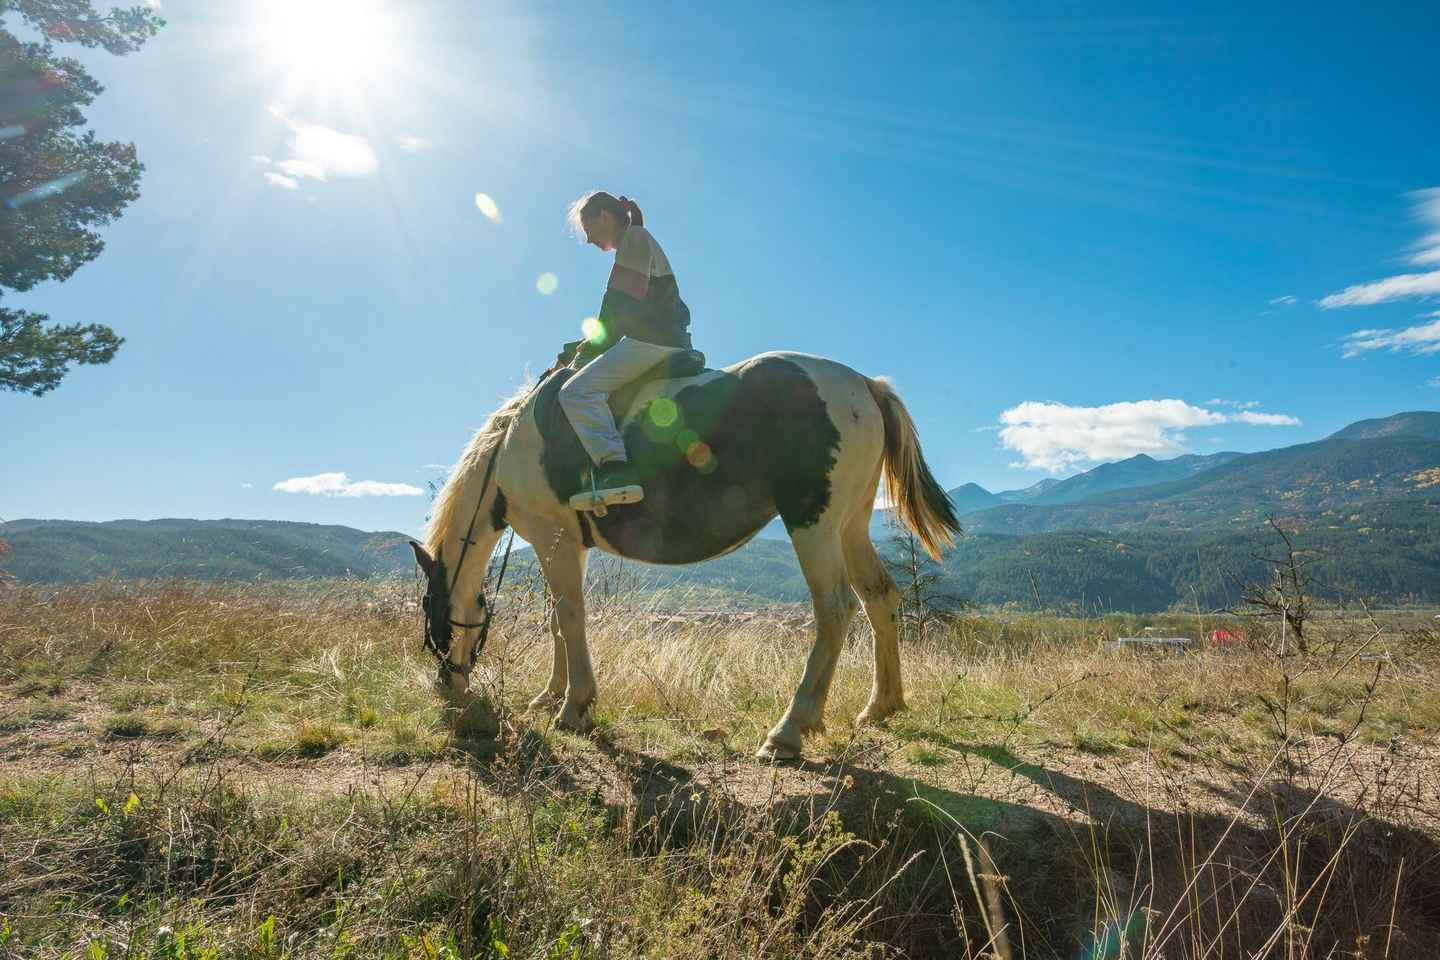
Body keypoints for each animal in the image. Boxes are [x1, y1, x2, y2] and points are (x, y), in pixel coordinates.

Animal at [409, 351, 960, 760]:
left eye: (436, 622)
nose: (447, 689)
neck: (510, 447)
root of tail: (864, 384)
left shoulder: (552, 534)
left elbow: (568, 615)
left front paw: (573, 706)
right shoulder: (567, 542)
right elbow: (556, 620)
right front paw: (550, 697)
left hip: (814, 521)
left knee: (834, 610)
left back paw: (788, 730)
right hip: (850, 525)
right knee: (879, 599)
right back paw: (882, 705)